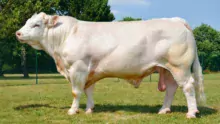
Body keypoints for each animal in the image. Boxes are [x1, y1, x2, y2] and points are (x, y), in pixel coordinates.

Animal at [15, 12, 205, 118]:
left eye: (36, 24)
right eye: (26, 22)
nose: (18, 33)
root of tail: (175, 20)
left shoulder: (77, 67)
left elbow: (76, 91)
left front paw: (73, 110)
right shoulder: (88, 71)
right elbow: (88, 90)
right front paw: (89, 109)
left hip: (179, 66)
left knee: (188, 87)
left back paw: (191, 113)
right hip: (167, 69)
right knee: (172, 88)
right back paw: (164, 110)